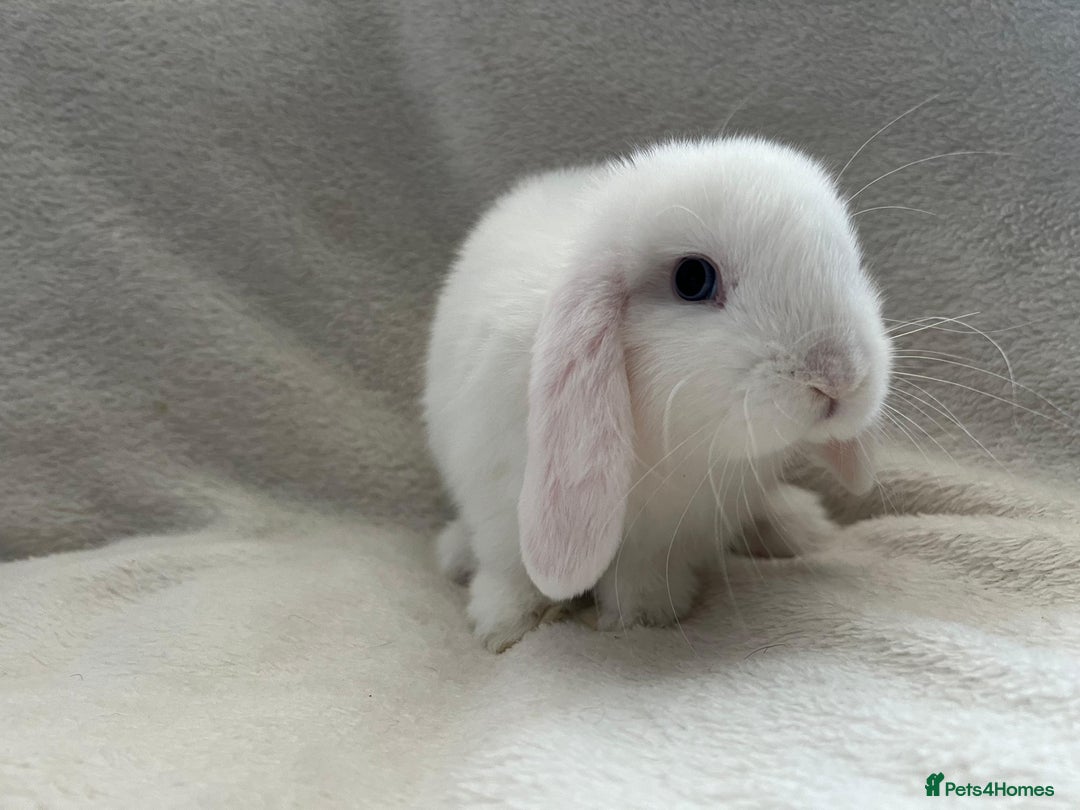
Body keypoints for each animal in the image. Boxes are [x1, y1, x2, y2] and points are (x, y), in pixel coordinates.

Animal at [423, 136, 890, 652]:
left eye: (851, 263)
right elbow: (513, 572)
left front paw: (646, 614)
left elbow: (640, 573)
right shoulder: (500, 498)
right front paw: (506, 625)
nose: (839, 377)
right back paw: (454, 554)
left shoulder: (668, 536)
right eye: (692, 279)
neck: (683, 446)